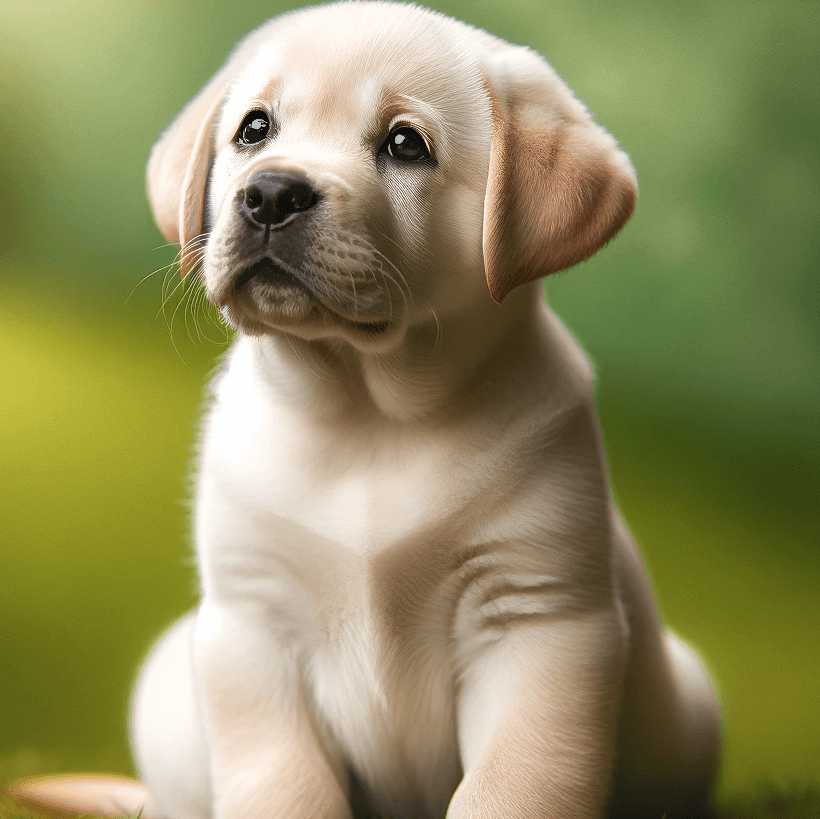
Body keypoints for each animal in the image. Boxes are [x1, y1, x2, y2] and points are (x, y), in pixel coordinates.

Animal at [9, 1, 720, 819]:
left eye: (405, 144)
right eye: (254, 129)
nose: (270, 193)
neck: (367, 415)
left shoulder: (540, 627)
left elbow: (511, 786)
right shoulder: (251, 623)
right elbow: (281, 782)